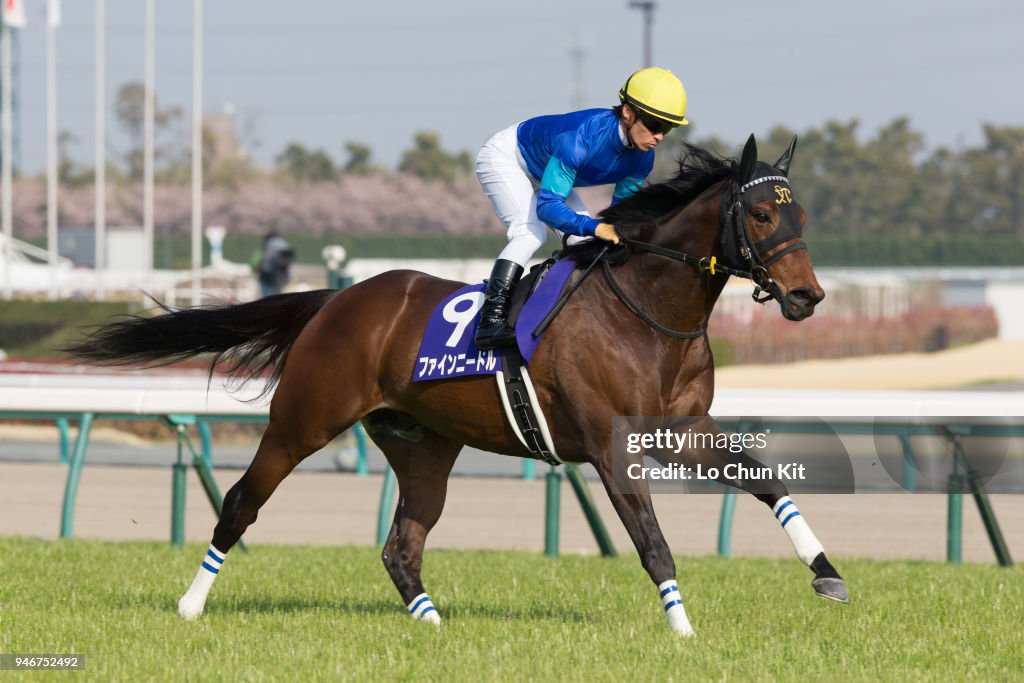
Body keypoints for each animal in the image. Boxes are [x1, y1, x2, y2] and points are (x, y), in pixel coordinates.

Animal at [64, 136, 847, 638]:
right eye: (761, 213)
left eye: (802, 214)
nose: (807, 295)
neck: (647, 306)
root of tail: (337, 299)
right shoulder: (611, 446)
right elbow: (651, 540)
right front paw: (683, 630)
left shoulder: (681, 431)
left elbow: (769, 482)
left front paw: (827, 573)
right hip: (303, 420)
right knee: (240, 503)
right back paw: (191, 606)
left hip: (425, 446)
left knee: (402, 544)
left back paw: (433, 623)